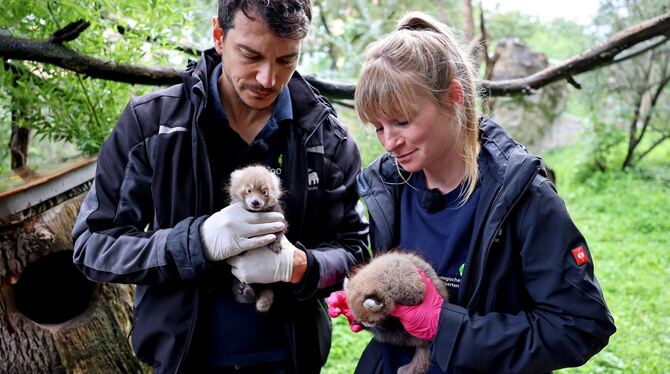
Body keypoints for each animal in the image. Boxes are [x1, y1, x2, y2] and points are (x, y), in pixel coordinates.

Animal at [228, 165, 286, 312]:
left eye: (264, 192)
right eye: (249, 190)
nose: (255, 202)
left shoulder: (280, 218)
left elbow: (278, 233)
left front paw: (275, 245)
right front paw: (240, 249)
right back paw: (245, 290)